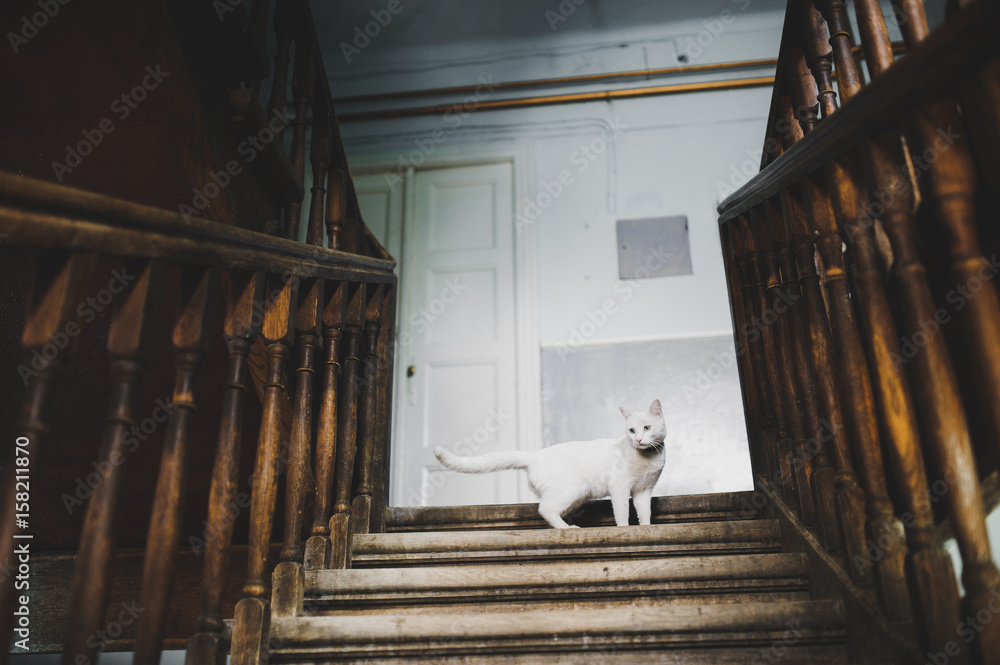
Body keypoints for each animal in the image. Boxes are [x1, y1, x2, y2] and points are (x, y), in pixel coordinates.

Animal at [434, 400, 668, 528]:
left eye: (647, 428)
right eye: (631, 430)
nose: (638, 439)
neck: (648, 458)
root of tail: (535, 455)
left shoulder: (644, 490)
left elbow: (644, 512)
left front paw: (645, 528)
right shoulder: (619, 487)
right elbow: (622, 513)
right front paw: (624, 529)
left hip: (574, 496)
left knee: (549, 510)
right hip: (572, 489)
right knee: (544, 509)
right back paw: (569, 529)